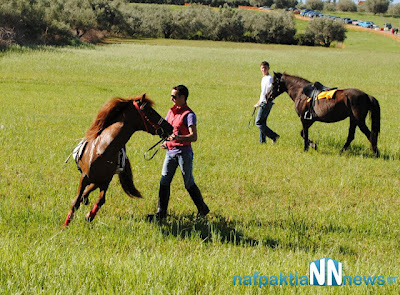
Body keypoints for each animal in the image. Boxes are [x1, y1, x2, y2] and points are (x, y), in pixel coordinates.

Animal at [63, 93, 173, 228]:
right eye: (150, 111)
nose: (170, 127)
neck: (104, 150)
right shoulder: (84, 177)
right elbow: (76, 201)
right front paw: (66, 225)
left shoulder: (106, 180)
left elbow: (100, 200)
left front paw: (89, 216)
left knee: (92, 188)